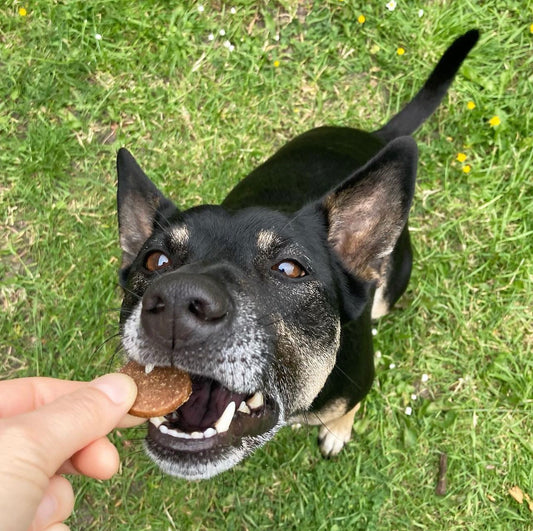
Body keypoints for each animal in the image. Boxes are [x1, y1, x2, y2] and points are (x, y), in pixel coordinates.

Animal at [115, 30, 478, 482]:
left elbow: (347, 408)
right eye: (156, 261)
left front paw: (338, 431)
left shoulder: (357, 383)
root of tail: (377, 136)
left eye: (290, 269)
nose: (177, 303)